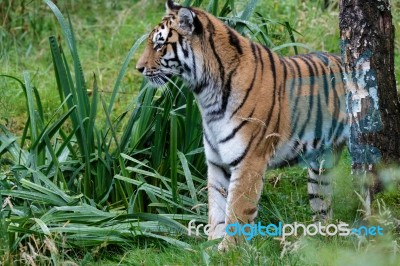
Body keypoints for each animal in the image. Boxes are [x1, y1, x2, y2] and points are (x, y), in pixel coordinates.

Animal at [136, 0, 348, 250]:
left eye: (159, 45)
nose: (138, 68)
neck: (206, 95)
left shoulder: (249, 161)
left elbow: (237, 210)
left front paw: (229, 250)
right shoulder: (217, 162)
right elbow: (217, 208)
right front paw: (212, 245)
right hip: (321, 166)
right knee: (323, 206)